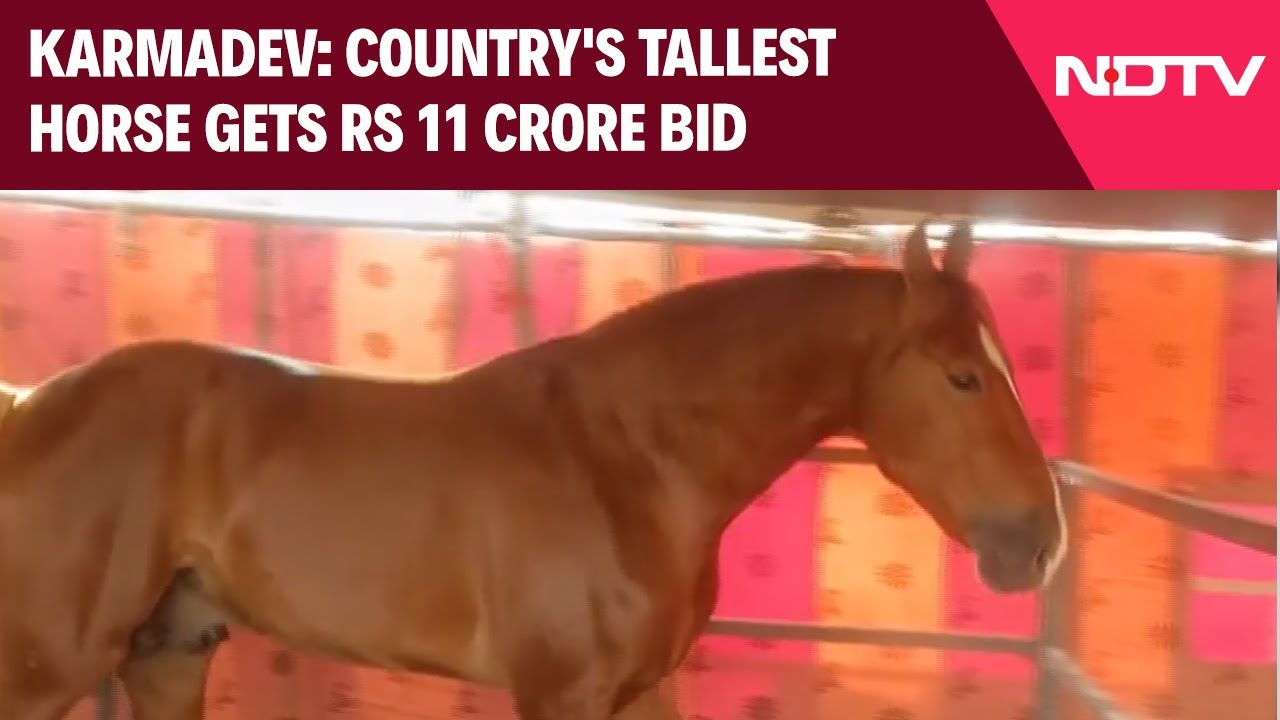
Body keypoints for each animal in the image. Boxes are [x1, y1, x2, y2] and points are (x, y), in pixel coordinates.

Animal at [0, 220, 1065, 720]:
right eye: (964, 376)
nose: (1042, 542)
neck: (630, 459)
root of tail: (31, 404)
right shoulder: (562, 694)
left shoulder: (639, 692)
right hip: (50, 662)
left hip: (168, 653)